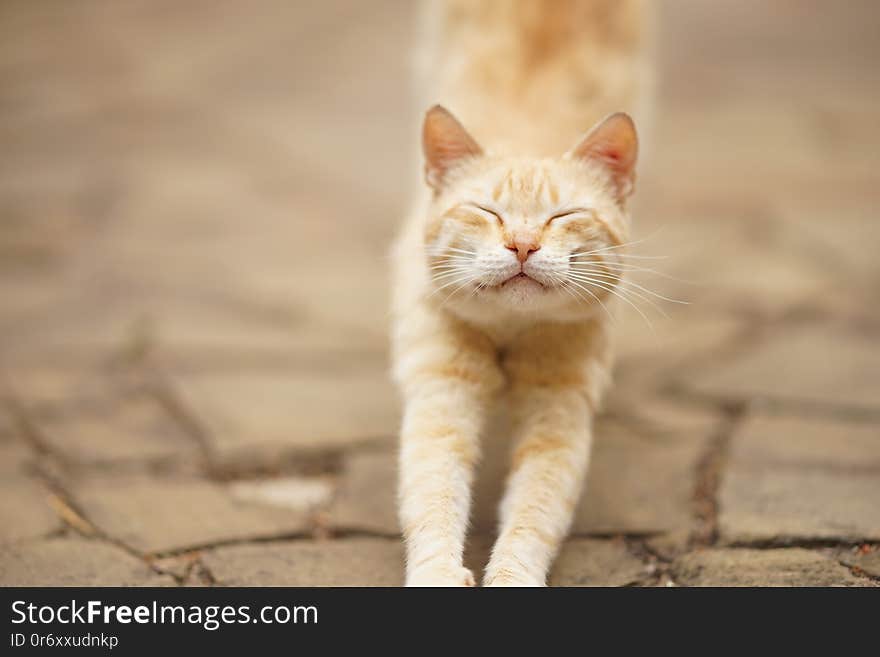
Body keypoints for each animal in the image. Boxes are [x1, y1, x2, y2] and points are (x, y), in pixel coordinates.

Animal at [392, 0, 648, 584]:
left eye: (564, 216)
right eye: (486, 212)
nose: (524, 245)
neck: (509, 331)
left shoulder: (559, 412)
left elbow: (535, 509)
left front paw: (510, 574)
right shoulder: (441, 392)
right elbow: (433, 492)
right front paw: (440, 573)